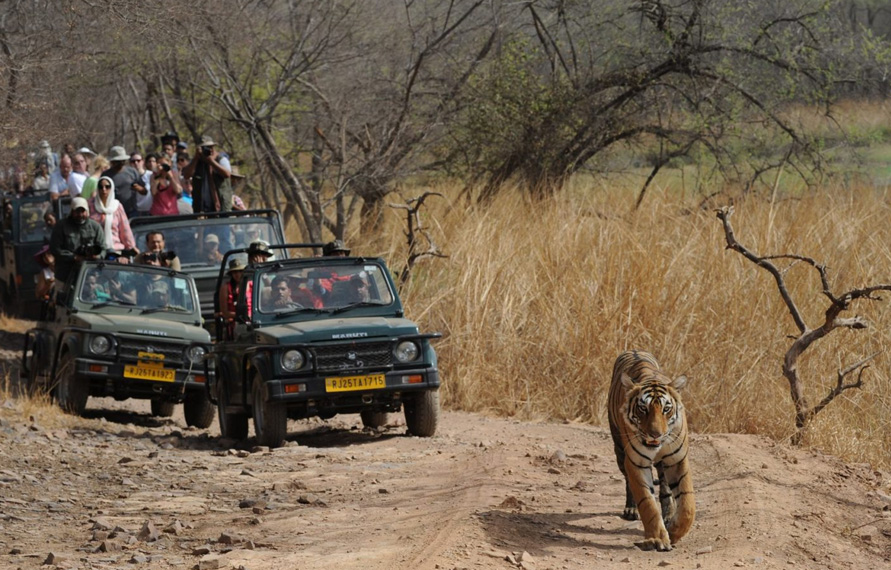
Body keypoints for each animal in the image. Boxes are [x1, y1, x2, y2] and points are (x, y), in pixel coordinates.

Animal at [608, 348, 696, 548]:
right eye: (643, 408)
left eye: (666, 409)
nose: (655, 434)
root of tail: (634, 349)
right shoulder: (636, 462)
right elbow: (647, 502)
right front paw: (657, 538)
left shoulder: (677, 459)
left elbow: (687, 503)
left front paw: (675, 532)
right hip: (619, 450)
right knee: (629, 482)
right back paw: (631, 509)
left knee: (665, 488)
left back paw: (669, 514)